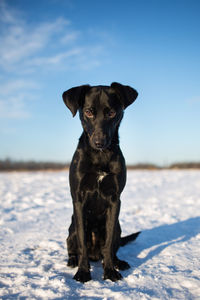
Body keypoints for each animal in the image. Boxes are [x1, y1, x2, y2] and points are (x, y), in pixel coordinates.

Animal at [62, 81, 139, 282]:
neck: (100, 156)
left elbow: (109, 243)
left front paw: (110, 271)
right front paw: (82, 272)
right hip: (71, 229)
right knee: (73, 245)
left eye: (111, 113)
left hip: (119, 227)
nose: (99, 142)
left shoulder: (115, 199)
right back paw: (73, 260)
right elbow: (82, 242)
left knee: (110, 248)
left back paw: (118, 262)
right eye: (88, 112)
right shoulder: (78, 200)